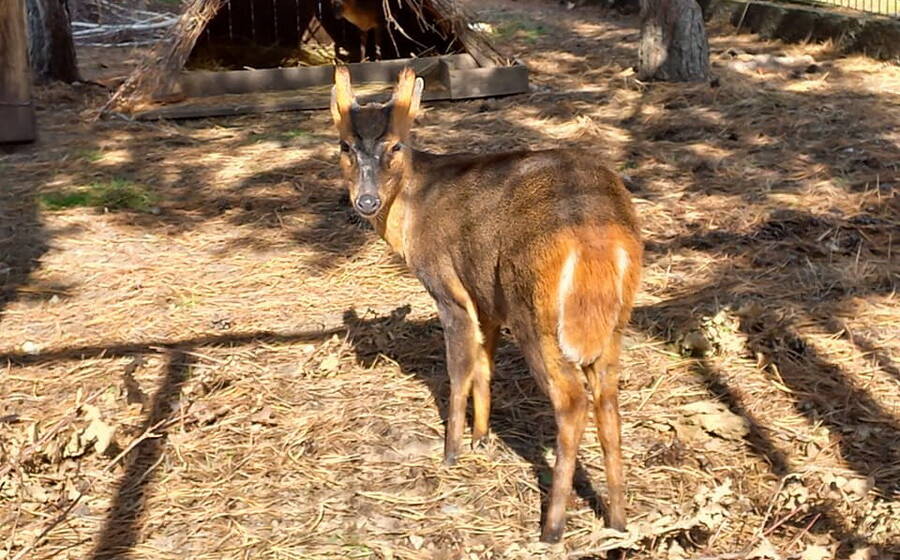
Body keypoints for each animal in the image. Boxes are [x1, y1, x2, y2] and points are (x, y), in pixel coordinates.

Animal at [328, 65, 640, 544]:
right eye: (345, 145)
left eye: (396, 145)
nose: (366, 201)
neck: (412, 209)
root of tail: (600, 237)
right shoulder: (487, 298)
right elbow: (485, 364)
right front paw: (480, 436)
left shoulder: (450, 290)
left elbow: (458, 370)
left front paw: (452, 450)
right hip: (612, 325)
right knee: (607, 399)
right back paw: (618, 519)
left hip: (535, 313)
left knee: (572, 402)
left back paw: (552, 526)